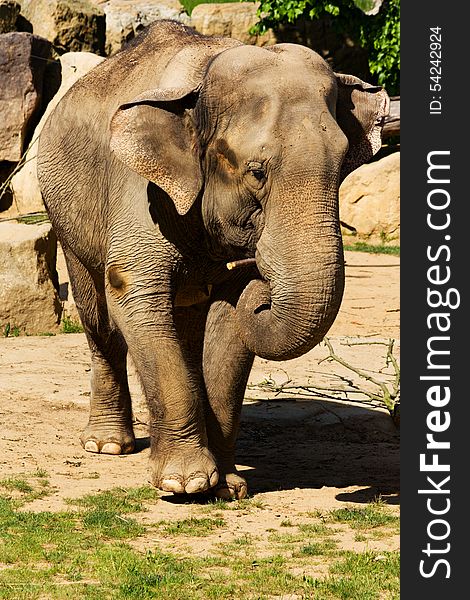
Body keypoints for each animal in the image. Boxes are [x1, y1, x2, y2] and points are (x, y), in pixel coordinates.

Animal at [36, 18, 390, 500]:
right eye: (257, 172)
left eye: (340, 170)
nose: (263, 286)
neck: (204, 75)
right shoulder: (139, 193)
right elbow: (134, 296)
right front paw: (183, 484)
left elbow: (228, 325)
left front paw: (227, 486)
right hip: (65, 213)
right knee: (99, 318)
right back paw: (108, 445)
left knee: (184, 326)